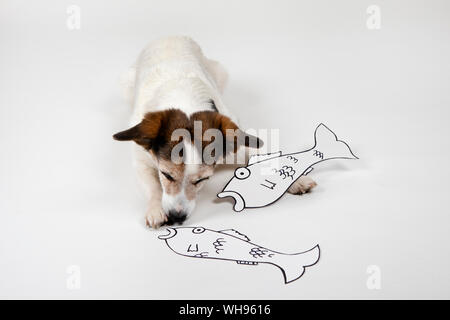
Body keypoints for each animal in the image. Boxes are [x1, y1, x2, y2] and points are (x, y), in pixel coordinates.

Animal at [112, 37, 316, 228]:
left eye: (202, 179)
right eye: (167, 175)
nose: (177, 218)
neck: (183, 99)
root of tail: (169, 35)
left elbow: (267, 156)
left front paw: (295, 179)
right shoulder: (141, 162)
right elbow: (152, 187)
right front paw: (155, 209)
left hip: (221, 71)